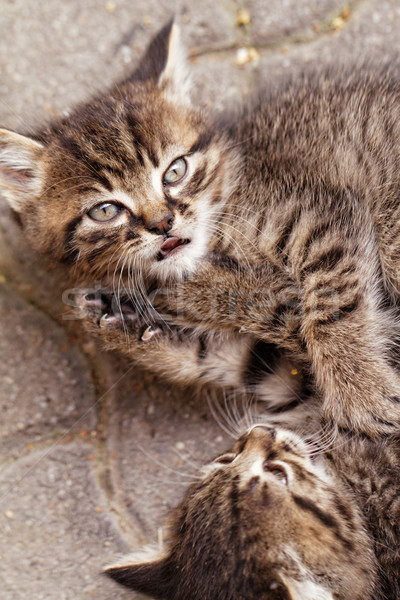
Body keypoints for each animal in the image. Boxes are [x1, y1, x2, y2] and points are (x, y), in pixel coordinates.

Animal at [0, 22, 400, 436]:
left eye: (175, 171)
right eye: (105, 210)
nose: (162, 223)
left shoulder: (321, 216)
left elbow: (326, 304)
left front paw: (361, 391)